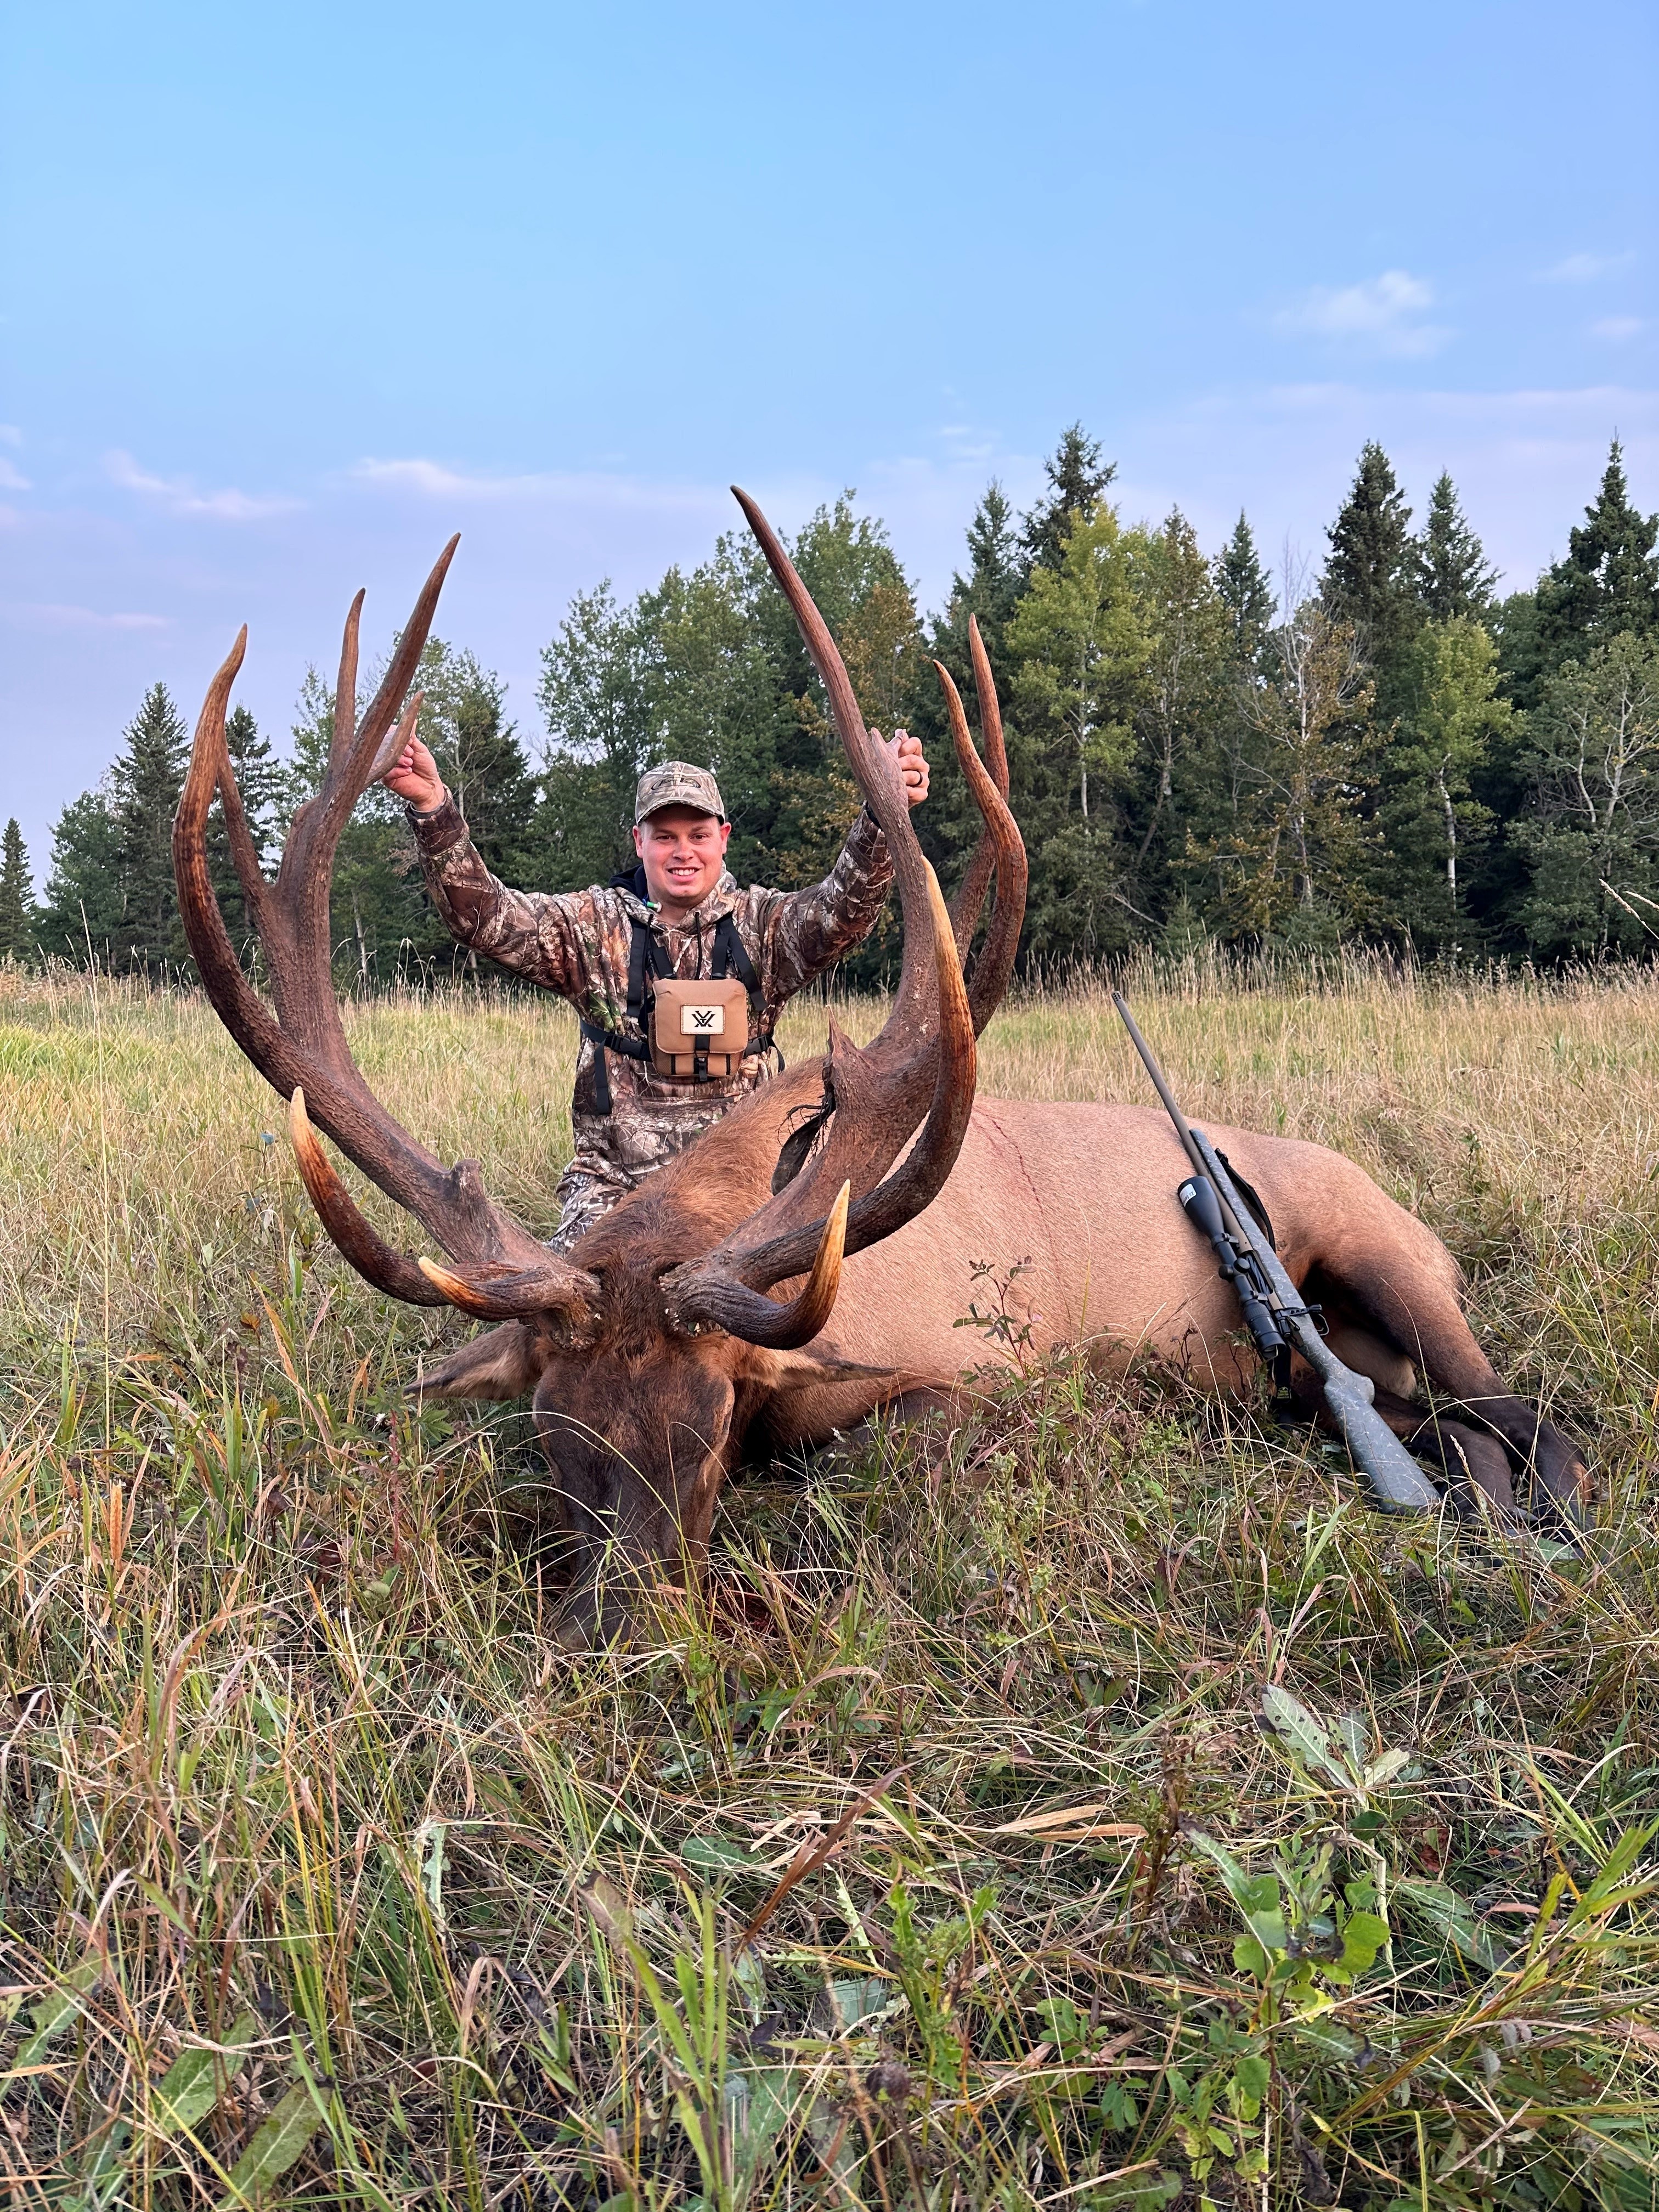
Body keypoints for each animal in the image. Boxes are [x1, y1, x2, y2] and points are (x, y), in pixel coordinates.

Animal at [173, 493, 1588, 1643]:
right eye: (552, 1435)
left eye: (706, 1434)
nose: (620, 1634)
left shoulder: (968, 1381)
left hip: (1387, 1253)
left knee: (1530, 1413)